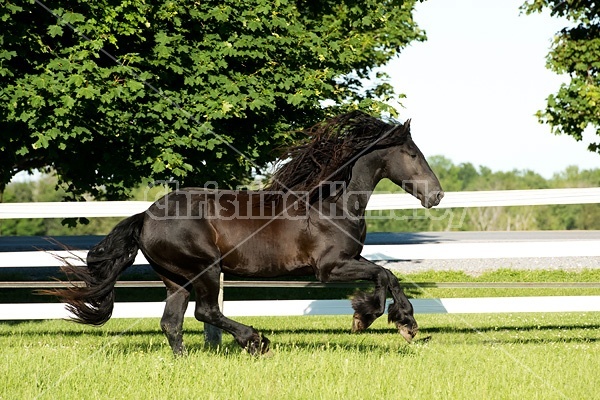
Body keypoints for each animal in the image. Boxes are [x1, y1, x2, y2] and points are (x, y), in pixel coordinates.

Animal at [51, 111, 442, 354]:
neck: (332, 202)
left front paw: (399, 322)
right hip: (206, 269)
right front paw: (378, 318)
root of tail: (146, 215)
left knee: (172, 323)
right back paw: (256, 341)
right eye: (411, 153)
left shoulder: (350, 258)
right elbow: (384, 274)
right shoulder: (330, 268)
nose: (436, 195)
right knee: (206, 313)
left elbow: (386, 275)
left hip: (175, 278)